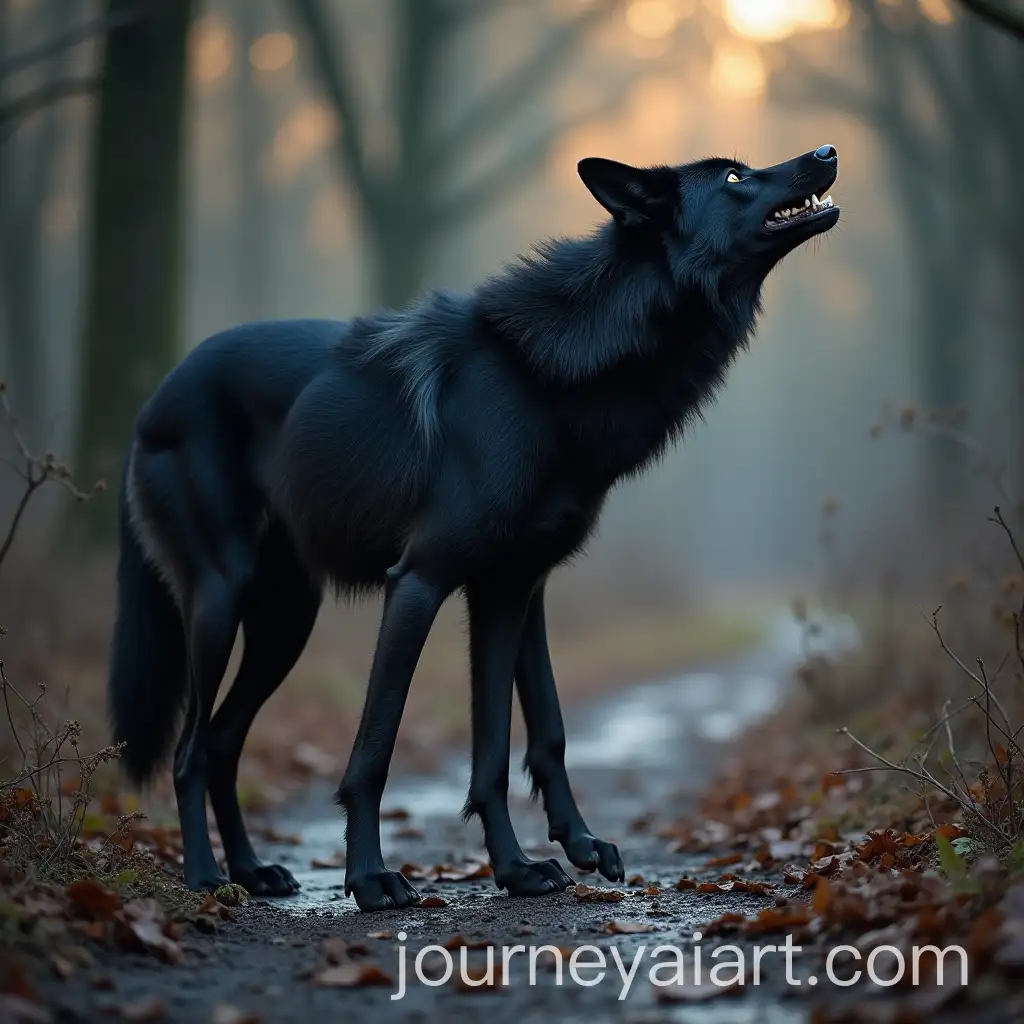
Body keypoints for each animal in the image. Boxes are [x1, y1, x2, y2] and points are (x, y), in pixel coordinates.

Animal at [109, 146, 839, 911]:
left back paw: (254, 871)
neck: (545, 379)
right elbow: (376, 749)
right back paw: (205, 877)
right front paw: (370, 879)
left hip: (286, 624)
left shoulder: (514, 588)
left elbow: (526, 738)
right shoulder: (421, 581)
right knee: (189, 752)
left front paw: (534, 863)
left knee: (222, 742)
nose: (825, 153)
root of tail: (152, 401)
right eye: (733, 178)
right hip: (220, 604)